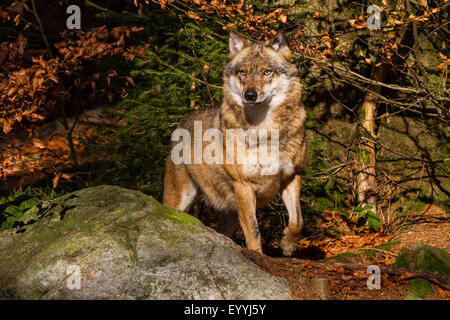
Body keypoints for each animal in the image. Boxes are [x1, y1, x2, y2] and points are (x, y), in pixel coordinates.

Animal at [162, 32, 306, 256]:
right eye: (243, 72)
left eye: (267, 71)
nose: (250, 94)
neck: (264, 130)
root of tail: (182, 122)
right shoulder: (244, 186)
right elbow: (254, 232)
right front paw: (258, 257)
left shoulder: (292, 176)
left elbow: (298, 221)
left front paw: (288, 245)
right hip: (180, 200)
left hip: (230, 215)